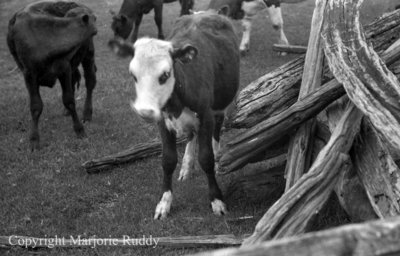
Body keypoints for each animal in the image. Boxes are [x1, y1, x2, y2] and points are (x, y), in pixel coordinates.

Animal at [7, 1, 97, 150]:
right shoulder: (29, 75)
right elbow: (36, 106)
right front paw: (34, 140)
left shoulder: (64, 68)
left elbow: (69, 100)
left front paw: (80, 130)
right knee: (77, 81)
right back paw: (68, 112)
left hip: (88, 55)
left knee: (90, 82)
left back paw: (87, 114)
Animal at [108, 9, 239, 218]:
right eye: (133, 75)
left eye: (165, 75)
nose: (145, 111)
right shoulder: (162, 121)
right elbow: (168, 160)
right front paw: (164, 203)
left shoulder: (206, 116)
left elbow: (206, 158)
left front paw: (217, 200)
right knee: (191, 135)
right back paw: (186, 167)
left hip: (220, 106)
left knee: (217, 130)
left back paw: (218, 158)